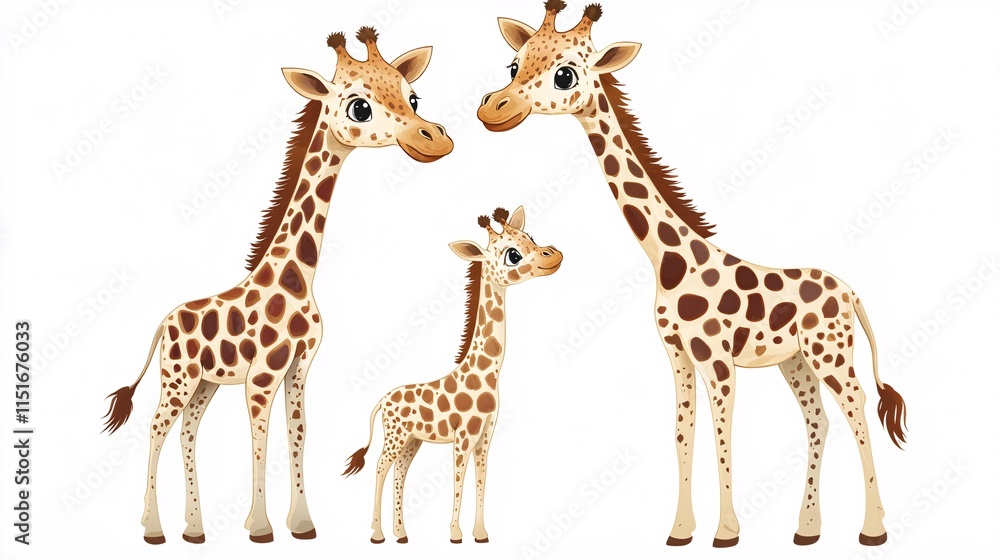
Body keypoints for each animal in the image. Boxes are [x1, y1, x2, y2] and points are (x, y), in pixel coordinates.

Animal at [101, 27, 453, 545]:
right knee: (155, 428)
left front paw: (302, 524)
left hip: (205, 382)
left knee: (187, 430)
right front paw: (261, 527)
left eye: (413, 96)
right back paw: (152, 528)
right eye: (359, 107)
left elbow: (298, 435)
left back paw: (194, 528)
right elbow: (260, 439)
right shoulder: (262, 375)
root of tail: (162, 323)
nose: (434, 140)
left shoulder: (298, 369)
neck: (298, 277)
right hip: (178, 376)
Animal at [343, 207, 562, 545]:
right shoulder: (463, 436)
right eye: (512, 254)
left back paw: (401, 534)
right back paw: (378, 534)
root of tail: (382, 400)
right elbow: (459, 478)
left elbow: (481, 477)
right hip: (395, 436)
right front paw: (456, 534)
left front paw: (481, 534)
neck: (486, 374)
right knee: (380, 467)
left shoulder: (486, 435)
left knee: (399, 472)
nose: (554, 255)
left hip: (411, 441)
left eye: (530, 237)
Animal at [477, 1, 908, 548]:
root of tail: (852, 293)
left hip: (831, 353)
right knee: (820, 420)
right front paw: (681, 530)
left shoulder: (718, 361)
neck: (669, 261)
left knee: (858, 412)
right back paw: (808, 528)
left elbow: (723, 435)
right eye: (515, 63)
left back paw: (872, 528)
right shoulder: (677, 355)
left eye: (565, 73)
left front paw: (726, 533)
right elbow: (683, 434)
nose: (493, 109)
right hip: (795, 361)